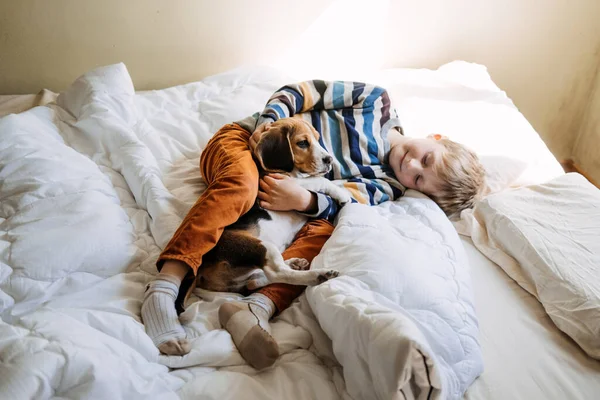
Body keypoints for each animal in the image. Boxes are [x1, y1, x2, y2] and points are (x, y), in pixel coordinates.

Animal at [197, 117, 352, 292]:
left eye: (317, 139)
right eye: (303, 143)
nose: (329, 160)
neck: (291, 172)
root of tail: (202, 274)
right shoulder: (286, 182)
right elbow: (319, 179)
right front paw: (342, 194)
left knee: (255, 281)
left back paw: (294, 263)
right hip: (258, 246)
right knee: (277, 273)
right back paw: (319, 275)